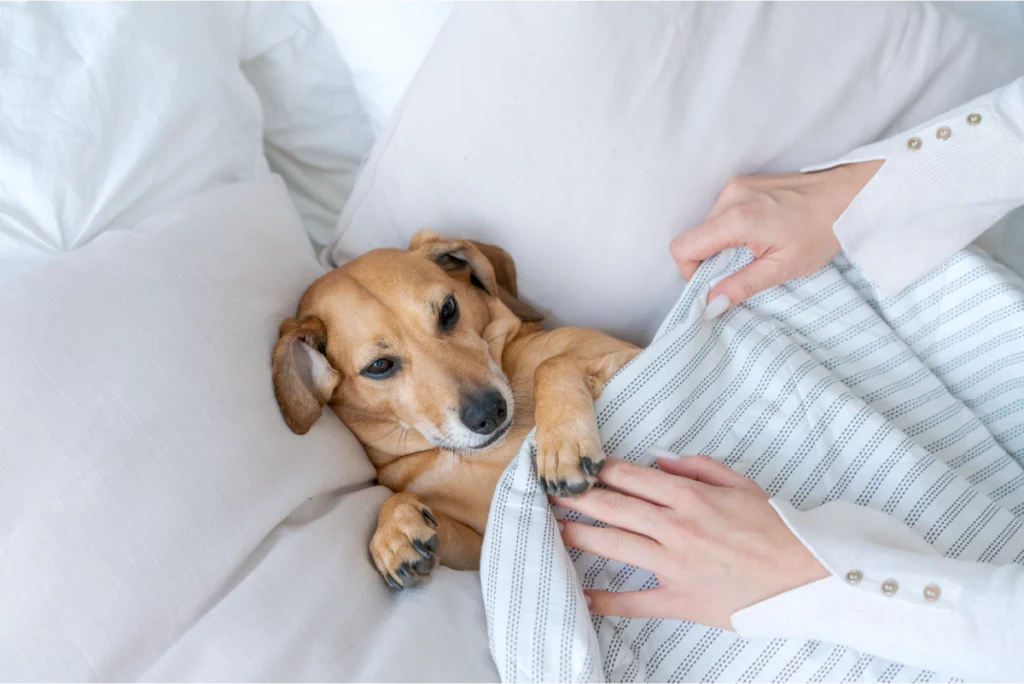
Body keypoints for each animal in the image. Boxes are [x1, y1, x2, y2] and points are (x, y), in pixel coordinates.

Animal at [272, 233, 638, 589]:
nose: (489, 412)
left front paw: (563, 446)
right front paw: (394, 528)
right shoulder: (484, 549)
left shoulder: (629, 354)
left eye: (448, 309)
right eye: (379, 366)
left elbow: (550, 364)